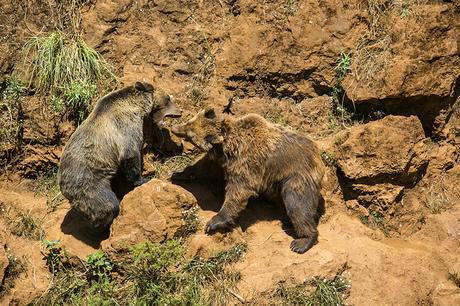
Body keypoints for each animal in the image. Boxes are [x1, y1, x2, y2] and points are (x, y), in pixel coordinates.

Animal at [56, 81, 181, 234]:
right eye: (168, 98)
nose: (179, 112)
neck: (137, 106)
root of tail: (62, 185)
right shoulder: (125, 127)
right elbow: (131, 154)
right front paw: (143, 179)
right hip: (88, 182)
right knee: (106, 205)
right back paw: (101, 228)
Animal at [171, 107, 326, 253]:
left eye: (190, 133)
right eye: (190, 122)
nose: (174, 128)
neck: (229, 149)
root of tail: (319, 159)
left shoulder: (246, 165)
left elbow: (238, 192)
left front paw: (213, 223)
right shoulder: (220, 163)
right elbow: (202, 167)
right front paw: (178, 173)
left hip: (297, 177)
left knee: (298, 206)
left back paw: (302, 241)